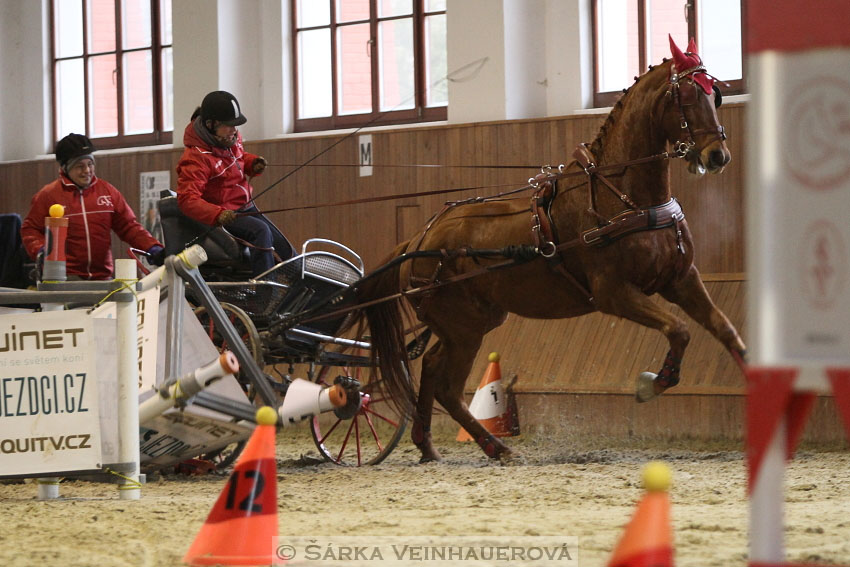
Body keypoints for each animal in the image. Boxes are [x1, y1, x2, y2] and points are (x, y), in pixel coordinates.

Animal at [354, 37, 744, 464]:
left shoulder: (680, 278)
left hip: (470, 322)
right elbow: (679, 329)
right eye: (687, 95)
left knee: (431, 365)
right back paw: (496, 446)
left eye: (716, 93)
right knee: (446, 385)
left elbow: (725, 329)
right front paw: (652, 384)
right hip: (465, 327)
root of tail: (419, 239)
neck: (622, 195)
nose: (716, 156)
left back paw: (428, 444)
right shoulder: (614, 294)